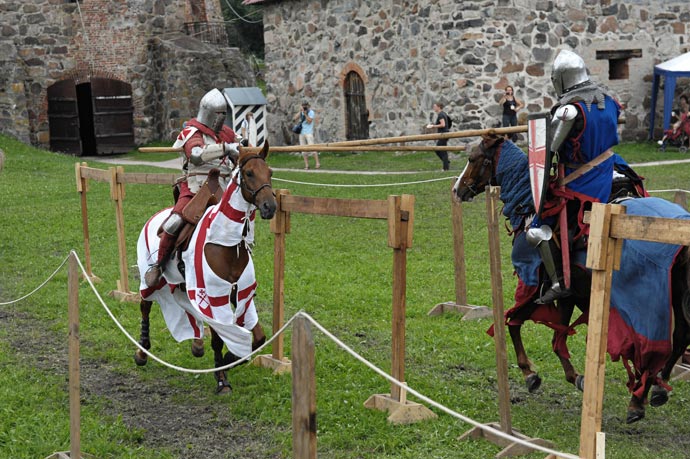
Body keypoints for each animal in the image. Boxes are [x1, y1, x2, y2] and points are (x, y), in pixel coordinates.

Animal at [133, 142, 276, 394]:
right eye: (249, 173)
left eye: (269, 172)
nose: (270, 206)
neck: (225, 242)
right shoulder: (212, 296)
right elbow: (219, 338)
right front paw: (221, 377)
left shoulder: (240, 294)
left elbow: (258, 338)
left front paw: (231, 359)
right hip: (150, 279)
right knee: (145, 305)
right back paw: (142, 353)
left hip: (183, 284)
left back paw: (196, 345)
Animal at [452, 134, 688, 424]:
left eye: (472, 158)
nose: (457, 189)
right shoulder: (569, 294)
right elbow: (555, 338)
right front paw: (573, 377)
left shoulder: (539, 287)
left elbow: (514, 322)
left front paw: (530, 373)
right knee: (681, 336)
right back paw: (657, 389)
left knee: (657, 346)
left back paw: (638, 400)